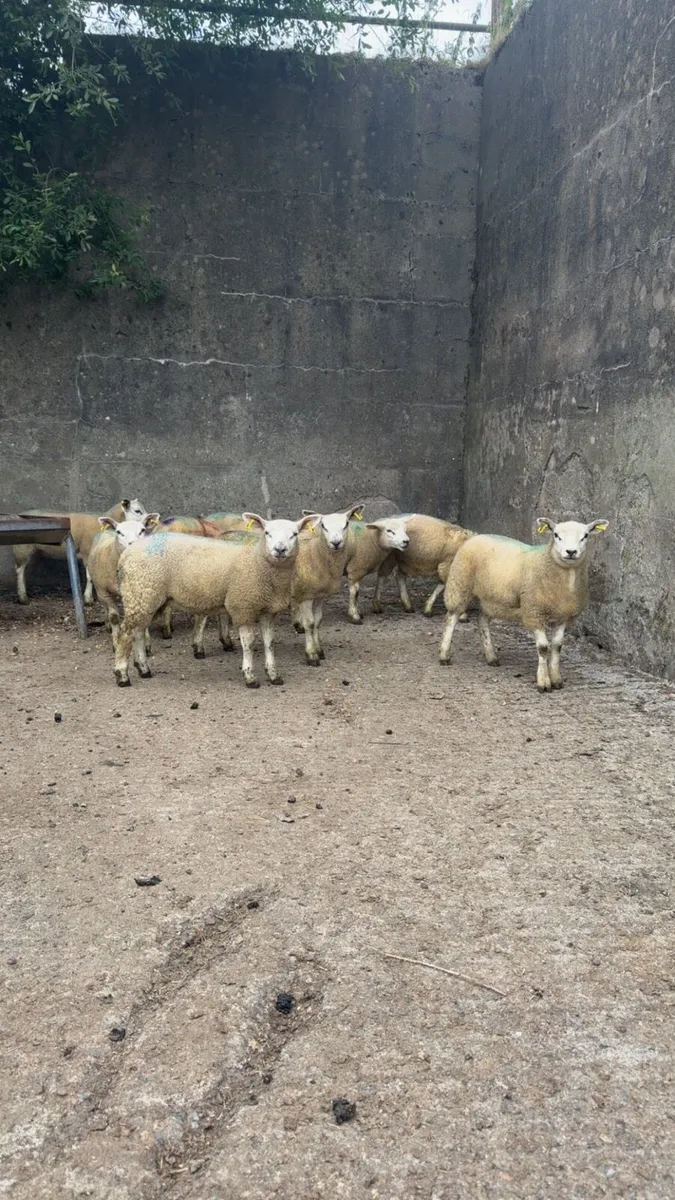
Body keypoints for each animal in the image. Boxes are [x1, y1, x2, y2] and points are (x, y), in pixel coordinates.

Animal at [13, 498, 148, 606]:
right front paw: (88, 599)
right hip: (22, 548)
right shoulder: (87, 552)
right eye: (137, 511)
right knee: (19, 570)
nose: (147, 522)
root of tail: (19, 514)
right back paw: (22, 597)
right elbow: (90, 577)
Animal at [87, 512, 160, 647]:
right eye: (119, 532)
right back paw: (108, 625)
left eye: (142, 530)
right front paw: (115, 642)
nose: (134, 544)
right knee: (106, 608)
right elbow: (114, 617)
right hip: (100, 590)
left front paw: (146, 642)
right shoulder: (104, 592)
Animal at [113, 513, 318, 689]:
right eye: (267, 533)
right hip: (140, 592)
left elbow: (269, 642)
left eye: (294, 534)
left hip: (147, 598)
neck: (259, 562)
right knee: (125, 633)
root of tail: (126, 554)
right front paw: (250, 677)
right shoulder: (243, 606)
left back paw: (143, 669)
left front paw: (274, 675)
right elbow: (249, 643)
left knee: (138, 631)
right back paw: (122, 675)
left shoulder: (268, 610)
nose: (280, 550)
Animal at [290, 505, 363, 665]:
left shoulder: (319, 595)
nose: (336, 542)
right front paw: (311, 654)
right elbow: (310, 623)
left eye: (346, 524)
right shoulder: (306, 596)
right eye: (323, 525)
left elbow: (317, 622)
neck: (314, 554)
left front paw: (319, 650)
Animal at [439, 517, 610, 692]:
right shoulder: (534, 613)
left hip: (492, 599)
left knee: (482, 620)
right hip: (459, 584)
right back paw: (444, 655)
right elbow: (543, 648)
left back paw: (491, 657)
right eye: (556, 535)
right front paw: (543, 682)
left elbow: (557, 646)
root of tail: (476, 536)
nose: (571, 552)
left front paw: (556, 679)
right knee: (451, 618)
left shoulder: (564, 617)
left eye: (585, 535)